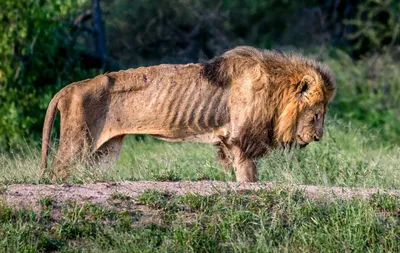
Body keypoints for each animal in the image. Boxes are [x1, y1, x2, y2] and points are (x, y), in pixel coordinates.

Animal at [40, 46, 336, 182]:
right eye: (316, 114)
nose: (318, 137)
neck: (276, 90)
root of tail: (69, 88)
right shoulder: (241, 140)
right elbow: (248, 176)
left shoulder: (230, 141)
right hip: (77, 143)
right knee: (57, 172)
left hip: (104, 151)